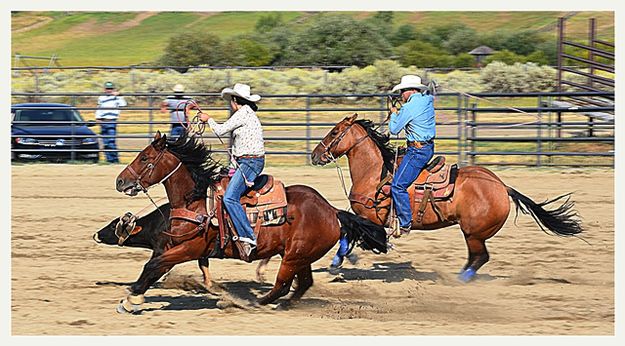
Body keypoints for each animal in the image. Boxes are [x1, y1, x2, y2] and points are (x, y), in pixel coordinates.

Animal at [111, 130, 386, 314]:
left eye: (144, 158)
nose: (120, 181)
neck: (195, 202)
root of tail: (332, 211)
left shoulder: (191, 248)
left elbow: (154, 264)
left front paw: (131, 299)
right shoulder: (171, 246)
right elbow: (154, 267)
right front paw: (134, 297)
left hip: (293, 257)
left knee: (282, 285)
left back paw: (247, 302)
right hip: (299, 256)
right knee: (302, 284)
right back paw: (279, 305)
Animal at [310, 115, 584, 282]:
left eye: (334, 131)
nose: (314, 155)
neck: (375, 172)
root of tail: (502, 187)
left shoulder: (371, 218)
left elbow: (349, 231)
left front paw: (339, 261)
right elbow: (349, 230)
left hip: (473, 233)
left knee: (480, 257)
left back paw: (458, 281)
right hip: (473, 234)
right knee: (475, 258)